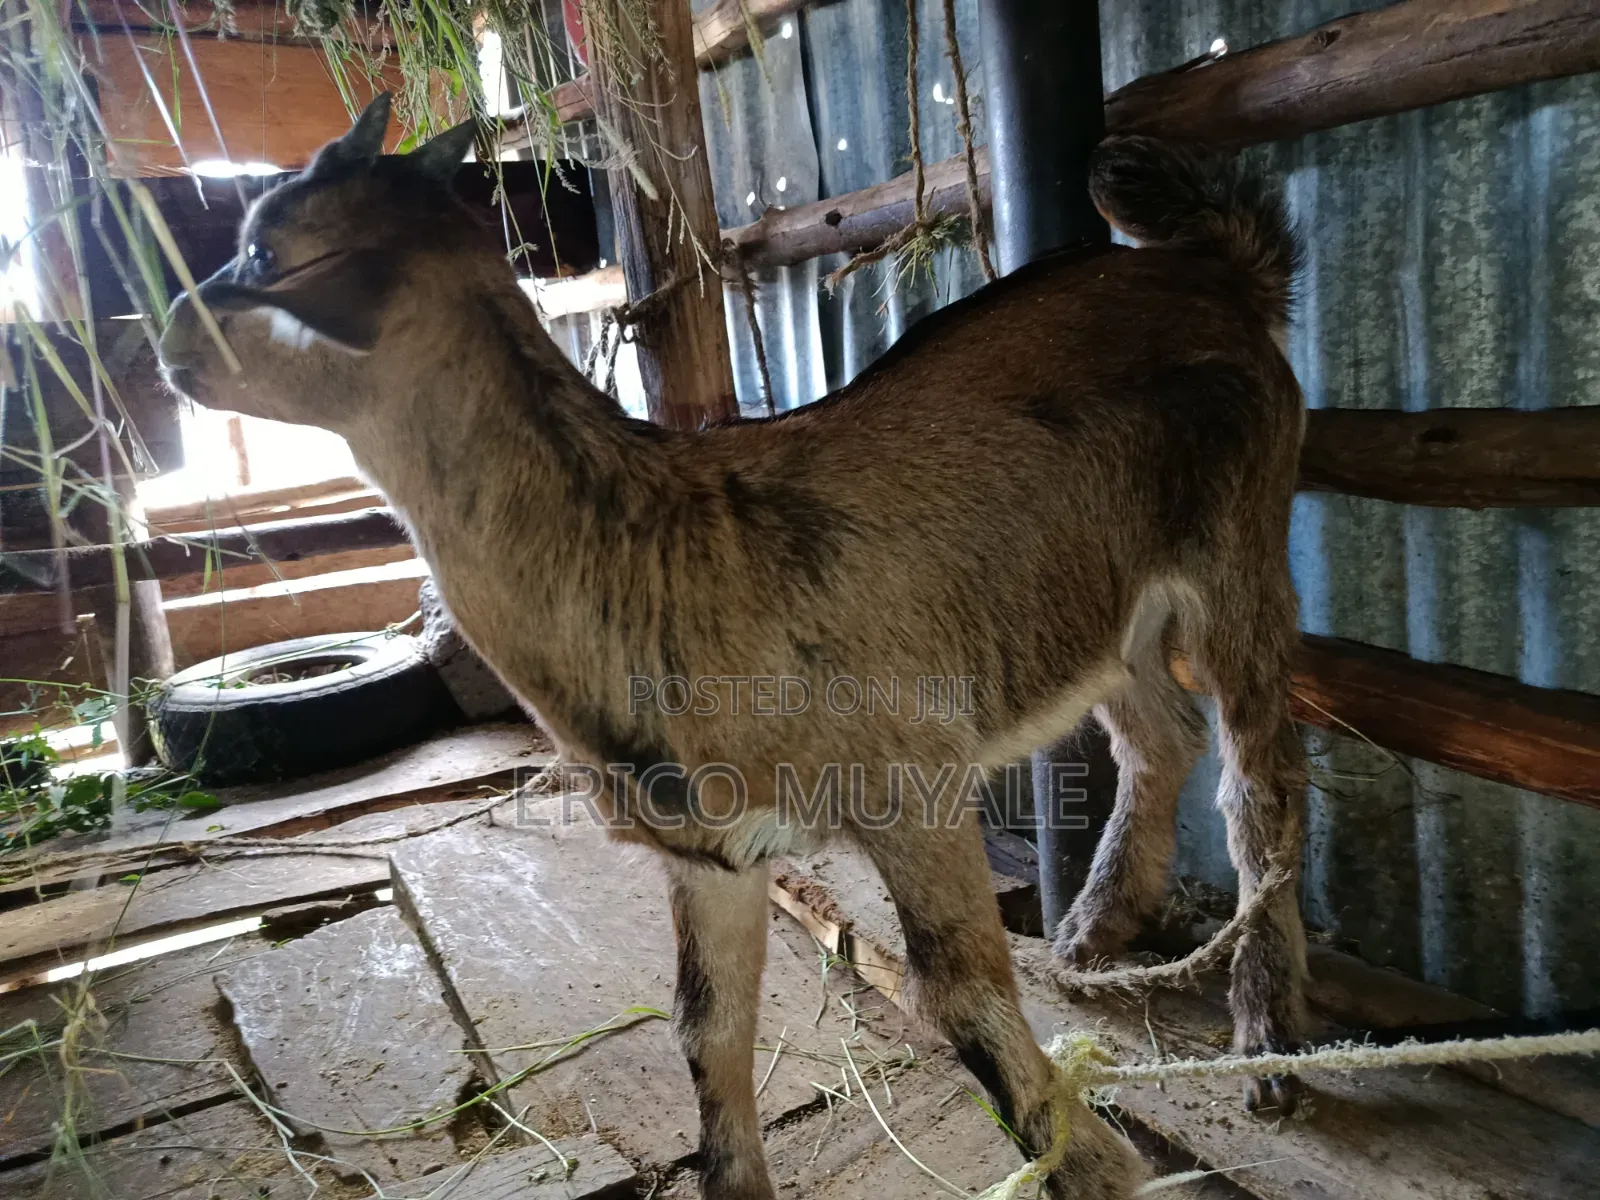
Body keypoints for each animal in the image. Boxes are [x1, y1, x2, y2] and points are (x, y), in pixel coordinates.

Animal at [159, 95, 1307, 1200]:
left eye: (264, 250)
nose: (164, 332)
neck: (660, 554)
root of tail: (1214, 270)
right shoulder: (706, 851)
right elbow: (704, 1024)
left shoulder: (911, 783)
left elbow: (958, 993)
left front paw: (1093, 1167)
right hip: (1101, 608)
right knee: (1158, 734)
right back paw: (1096, 929)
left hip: (1240, 543)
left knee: (1261, 780)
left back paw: (1270, 1041)